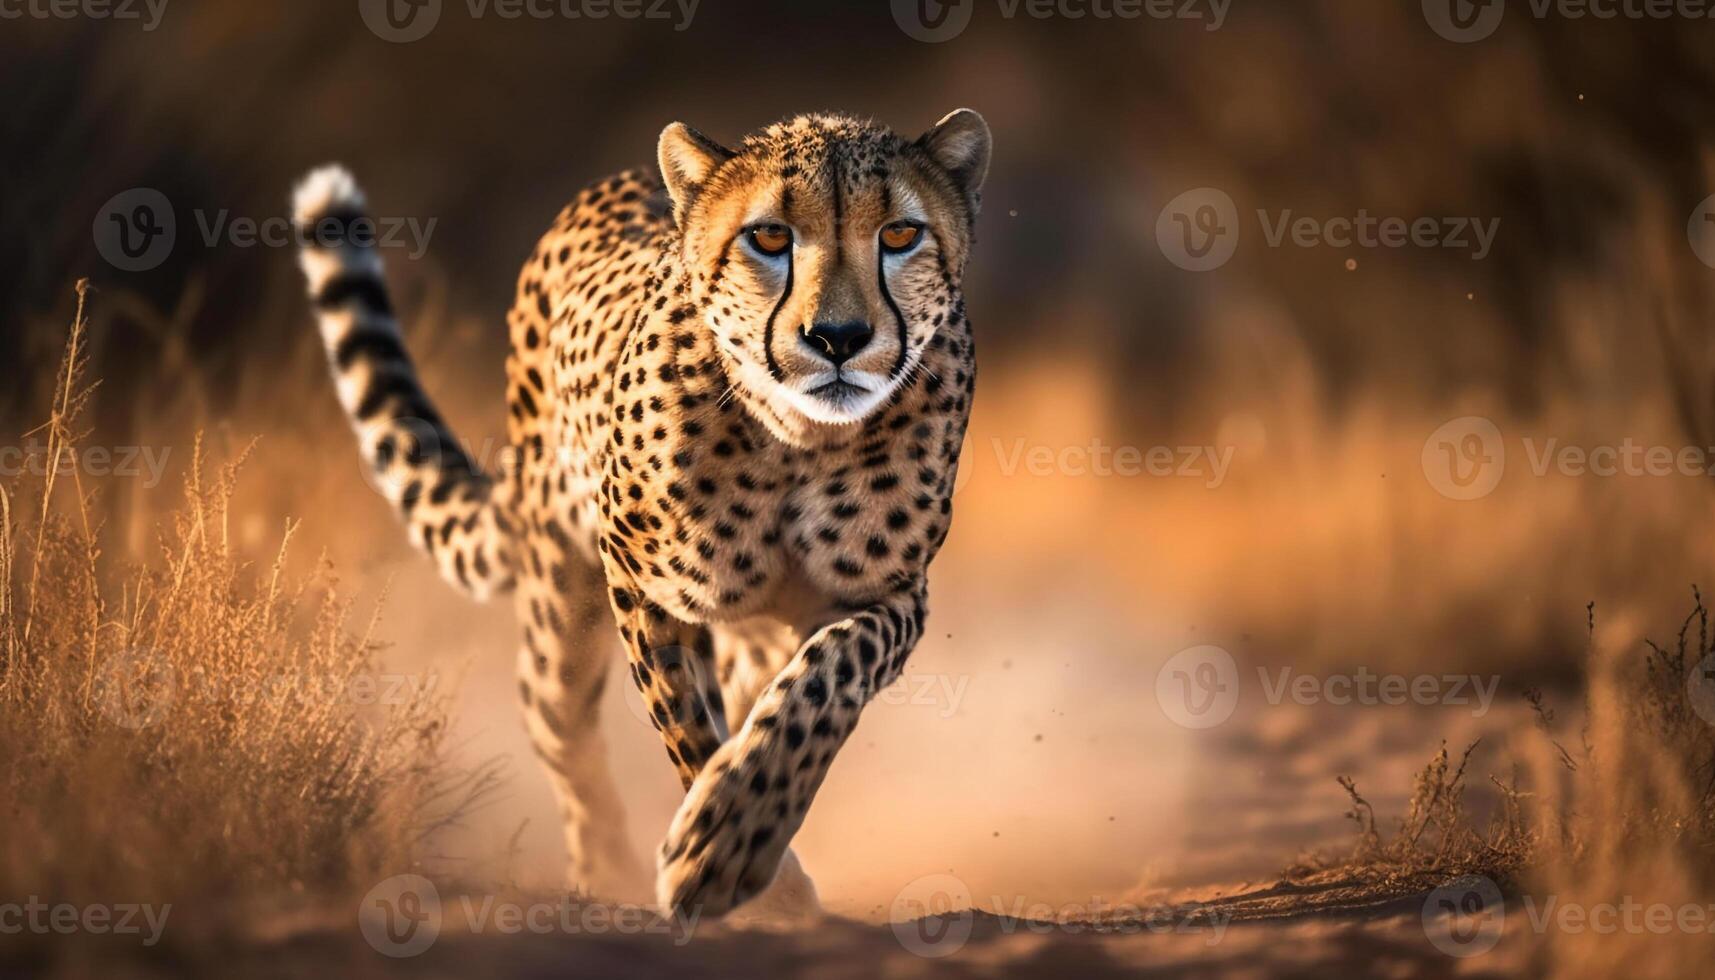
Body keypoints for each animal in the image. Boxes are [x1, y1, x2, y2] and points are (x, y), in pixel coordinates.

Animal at [294, 109, 994, 919]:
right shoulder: (642, 582)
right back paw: (601, 867)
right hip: (558, 605)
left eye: (901, 234)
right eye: (769, 238)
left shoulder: (887, 595)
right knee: (556, 725)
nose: (838, 339)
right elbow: (687, 723)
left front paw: (734, 840)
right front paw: (732, 862)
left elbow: (820, 682)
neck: (796, 440)